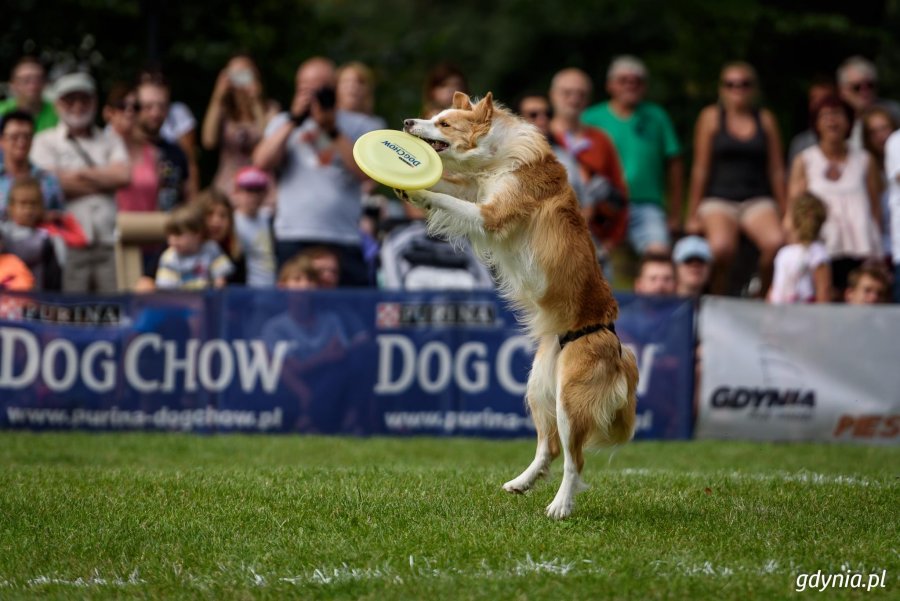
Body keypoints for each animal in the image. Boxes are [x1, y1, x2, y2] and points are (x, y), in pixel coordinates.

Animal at [400, 91, 640, 516]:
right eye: (433, 116)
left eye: (444, 123)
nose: (408, 122)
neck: (493, 158)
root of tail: (612, 339)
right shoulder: (474, 194)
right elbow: (448, 185)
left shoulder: (491, 213)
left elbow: (443, 194)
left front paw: (419, 191)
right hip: (538, 388)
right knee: (549, 448)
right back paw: (521, 483)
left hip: (569, 398)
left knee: (574, 460)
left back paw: (560, 506)